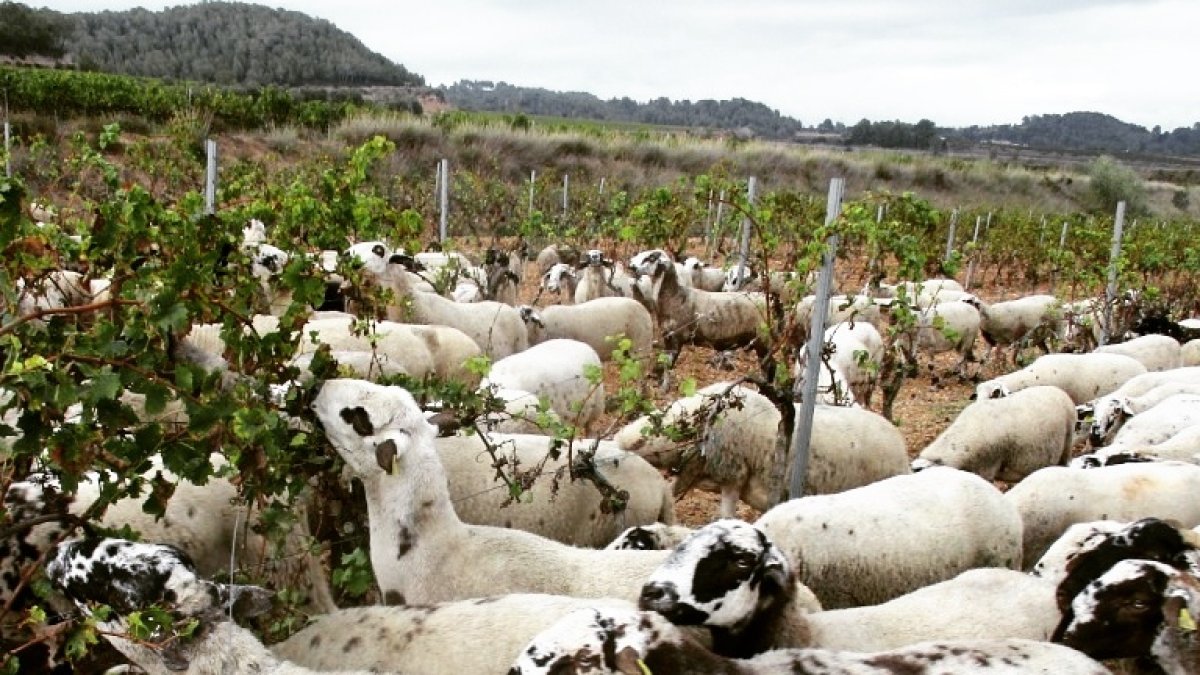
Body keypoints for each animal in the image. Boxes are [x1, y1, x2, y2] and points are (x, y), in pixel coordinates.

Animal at [630, 249, 768, 369]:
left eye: (651, 258)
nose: (631, 266)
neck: (675, 296)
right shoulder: (667, 337)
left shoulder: (676, 338)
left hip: (763, 342)